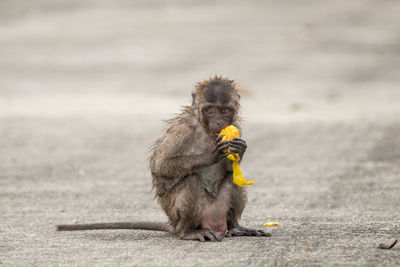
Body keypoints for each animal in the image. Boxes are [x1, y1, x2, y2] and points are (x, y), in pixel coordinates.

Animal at [55, 76, 268, 243]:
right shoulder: (183, 129)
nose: (218, 122)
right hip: (177, 214)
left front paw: (239, 150)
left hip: (217, 211)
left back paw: (234, 227)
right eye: (210, 110)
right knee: (191, 181)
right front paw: (209, 156)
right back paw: (188, 232)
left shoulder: (236, 125)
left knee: (233, 181)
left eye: (224, 111)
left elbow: (232, 169)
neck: (206, 131)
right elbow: (160, 165)